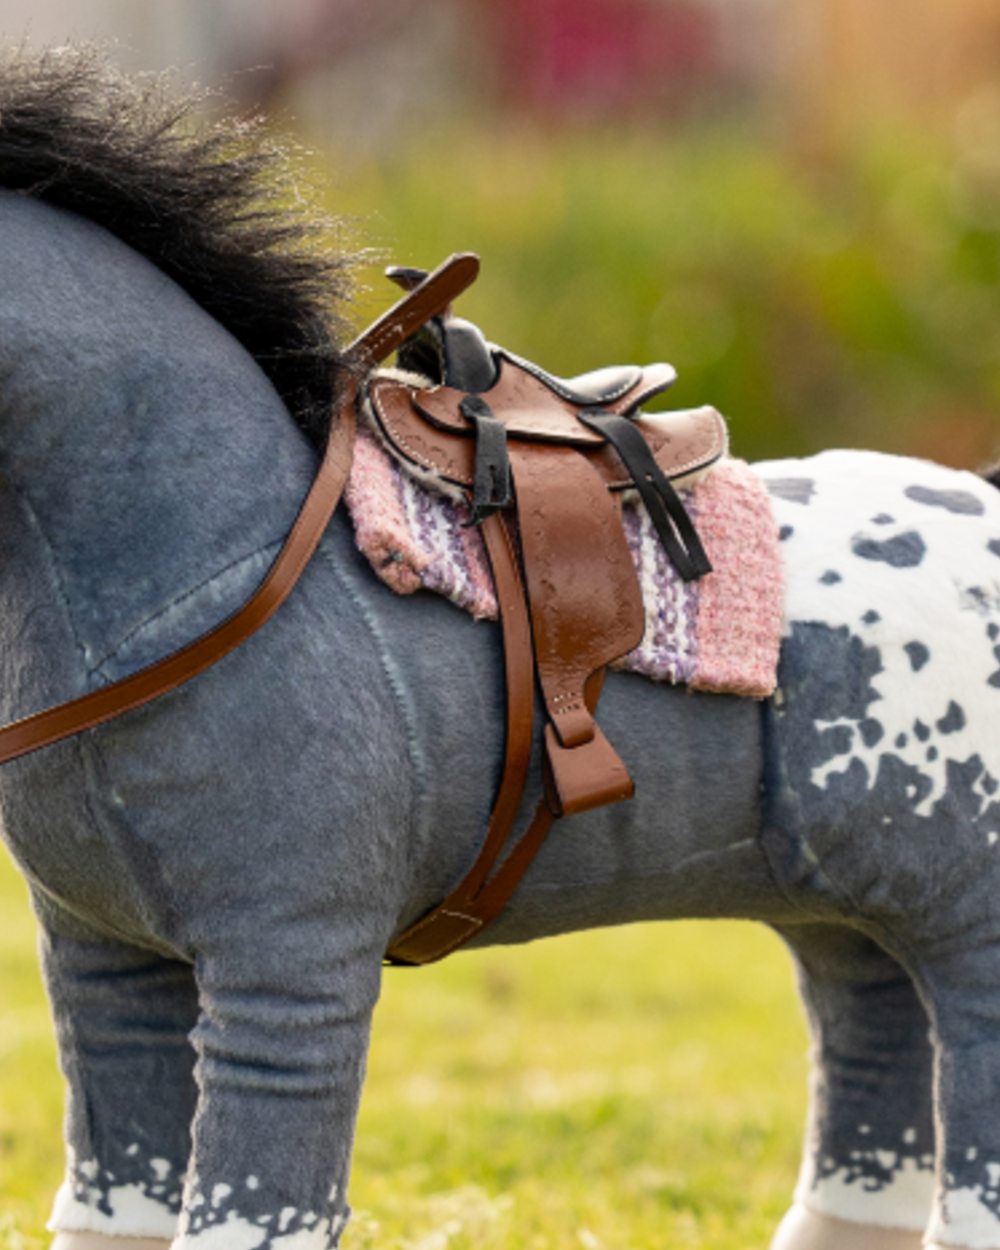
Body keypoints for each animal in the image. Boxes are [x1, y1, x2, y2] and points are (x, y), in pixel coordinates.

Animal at [1, 46, 1000, 1250]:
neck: (213, 569)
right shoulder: (101, 968)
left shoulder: (289, 969)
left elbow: (249, 1204)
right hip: (840, 908)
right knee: (873, 1062)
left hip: (966, 923)